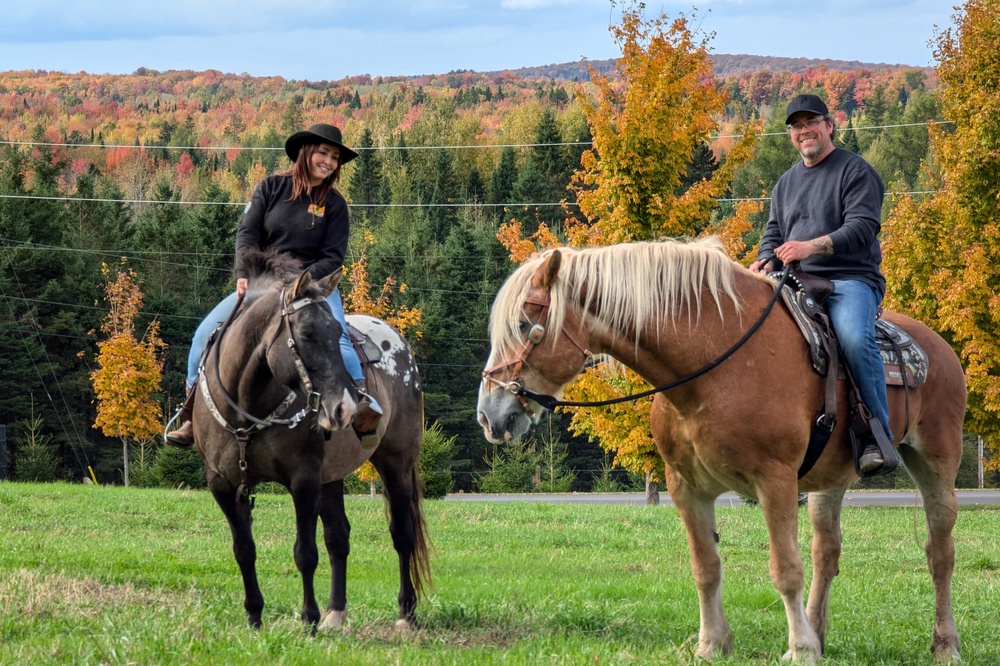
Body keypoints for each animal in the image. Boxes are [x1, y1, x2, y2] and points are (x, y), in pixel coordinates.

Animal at [190, 249, 430, 631]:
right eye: (306, 332)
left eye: (337, 332)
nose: (345, 406)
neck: (248, 406)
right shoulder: (223, 484)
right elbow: (244, 550)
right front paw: (254, 616)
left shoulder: (303, 480)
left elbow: (304, 552)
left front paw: (309, 618)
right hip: (332, 475)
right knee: (338, 537)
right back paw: (336, 612)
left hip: (396, 463)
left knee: (402, 532)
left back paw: (406, 612)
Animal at [478, 237, 965, 664]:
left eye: (524, 325)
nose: (488, 415)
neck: (711, 366)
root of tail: (938, 346)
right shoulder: (686, 487)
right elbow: (706, 567)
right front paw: (713, 644)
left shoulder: (775, 481)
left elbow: (785, 570)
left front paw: (801, 651)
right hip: (830, 482)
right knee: (826, 552)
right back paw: (817, 633)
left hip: (937, 465)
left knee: (940, 553)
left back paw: (945, 645)